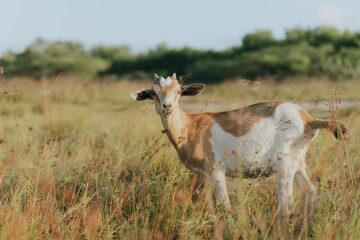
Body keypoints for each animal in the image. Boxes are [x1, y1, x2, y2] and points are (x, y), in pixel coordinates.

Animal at [131, 73, 350, 218]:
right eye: (153, 92)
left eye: (179, 91)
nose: (167, 107)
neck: (190, 126)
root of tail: (307, 118)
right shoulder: (200, 175)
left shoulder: (216, 171)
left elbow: (225, 206)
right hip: (299, 164)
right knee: (310, 191)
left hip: (284, 165)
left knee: (286, 204)